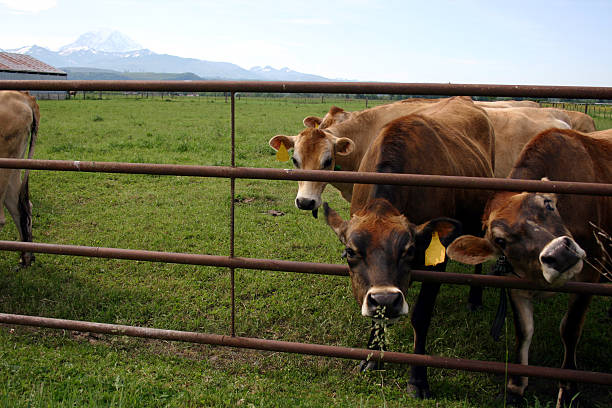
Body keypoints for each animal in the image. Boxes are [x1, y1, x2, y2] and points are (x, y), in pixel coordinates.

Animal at [326, 96, 492, 398]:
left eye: (410, 251)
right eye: (350, 252)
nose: (386, 300)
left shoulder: (437, 263)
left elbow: (421, 315)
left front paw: (418, 378)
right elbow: (376, 317)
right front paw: (372, 357)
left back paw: (475, 298)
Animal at [444, 128, 612, 408]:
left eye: (548, 204)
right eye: (500, 240)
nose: (560, 254)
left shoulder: (591, 272)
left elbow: (570, 328)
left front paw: (567, 389)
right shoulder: (515, 280)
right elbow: (524, 330)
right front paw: (515, 387)